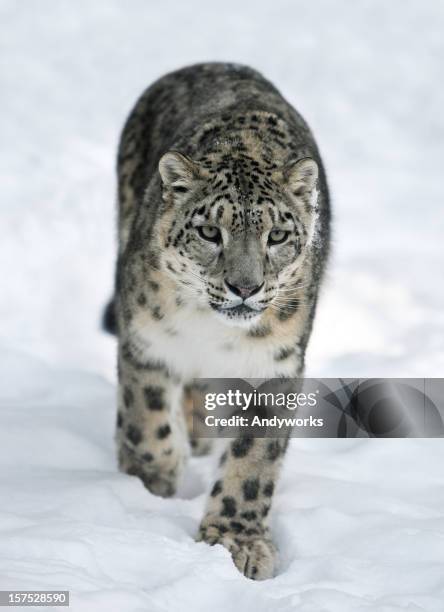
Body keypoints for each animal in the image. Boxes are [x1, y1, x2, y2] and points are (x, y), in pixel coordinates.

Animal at [105, 62, 330, 580]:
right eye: (210, 231)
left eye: (277, 235)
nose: (244, 287)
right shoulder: (147, 340)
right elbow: (146, 416)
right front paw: (152, 482)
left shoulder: (273, 366)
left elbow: (253, 462)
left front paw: (235, 541)